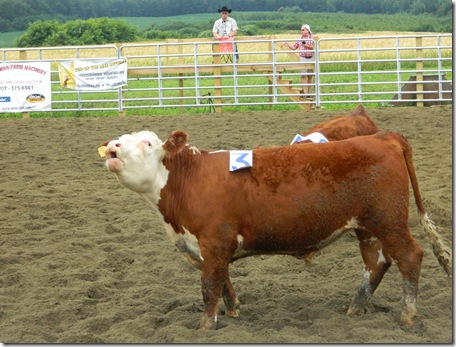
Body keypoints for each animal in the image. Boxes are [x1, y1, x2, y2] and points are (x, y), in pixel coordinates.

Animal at [102, 130, 448, 328]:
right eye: (120, 139)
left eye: (147, 143)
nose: (113, 148)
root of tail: (382, 138)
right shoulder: (212, 248)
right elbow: (224, 281)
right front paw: (233, 312)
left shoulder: (214, 241)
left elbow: (210, 287)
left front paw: (205, 327)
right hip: (367, 228)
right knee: (376, 263)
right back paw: (354, 310)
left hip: (389, 221)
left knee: (410, 257)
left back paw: (406, 317)